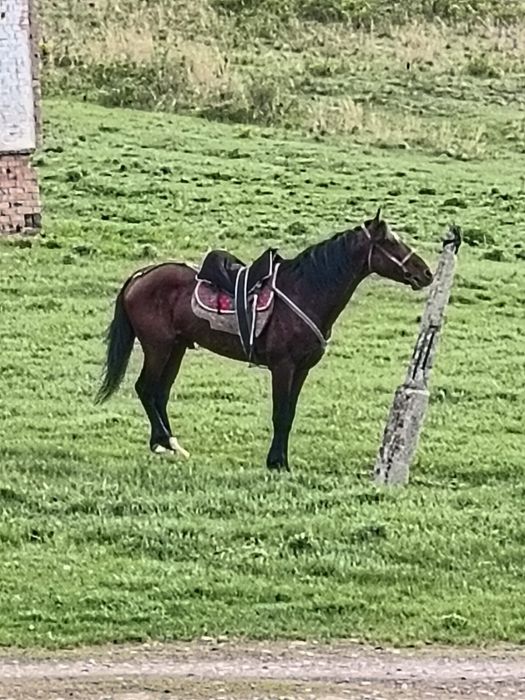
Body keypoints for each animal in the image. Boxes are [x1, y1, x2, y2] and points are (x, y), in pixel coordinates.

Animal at [96, 210, 433, 471]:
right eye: (389, 242)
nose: (426, 273)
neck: (305, 290)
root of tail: (141, 275)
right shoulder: (283, 366)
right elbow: (280, 414)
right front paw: (277, 462)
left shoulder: (301, 370)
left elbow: (290, 414)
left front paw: (279, 459)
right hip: (159, 347)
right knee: (146, 388)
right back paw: (163, 443)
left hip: (176, 348)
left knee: (159, 393)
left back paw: (169, 444)